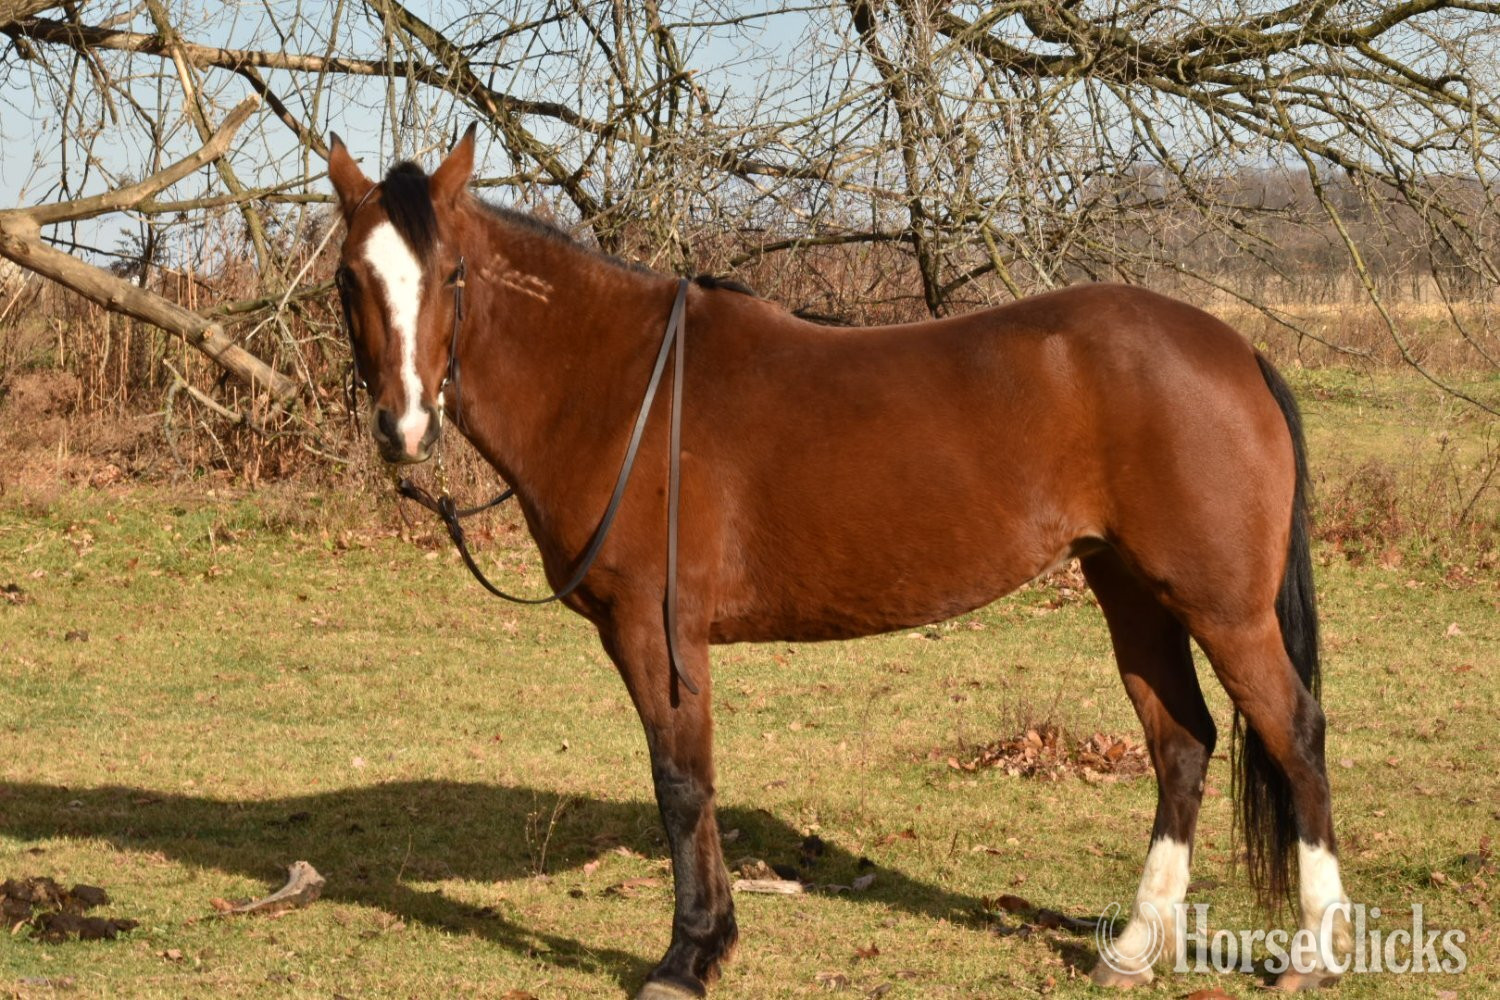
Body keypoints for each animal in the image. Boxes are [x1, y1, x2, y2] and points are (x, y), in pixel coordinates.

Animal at [327, 127, 1350, 997]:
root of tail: (1236, 350)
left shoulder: (656, 633)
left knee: (1294, 734)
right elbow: (691, 782)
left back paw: (1312, 951)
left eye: (452, 273)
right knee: (1182, 743)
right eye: (348, 279)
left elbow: (681, 783)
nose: (403, 428)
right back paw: (1135, 947)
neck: (621, 389)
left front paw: (690, 956)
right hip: (1132, 592)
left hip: (1222, 609)